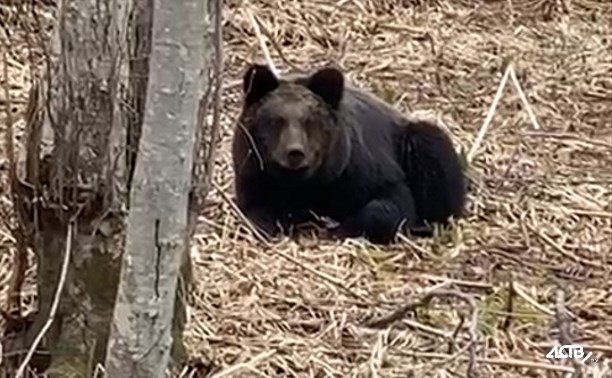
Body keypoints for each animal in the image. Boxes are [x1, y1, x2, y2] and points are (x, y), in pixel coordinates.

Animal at [232, 62, 466, 245]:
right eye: (276, 120)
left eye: (310, 121)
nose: (295, 153)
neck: (307, 184)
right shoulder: (254, 176)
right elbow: (260, 213)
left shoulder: (360, 172)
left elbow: (391, 204)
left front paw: (341, 228)